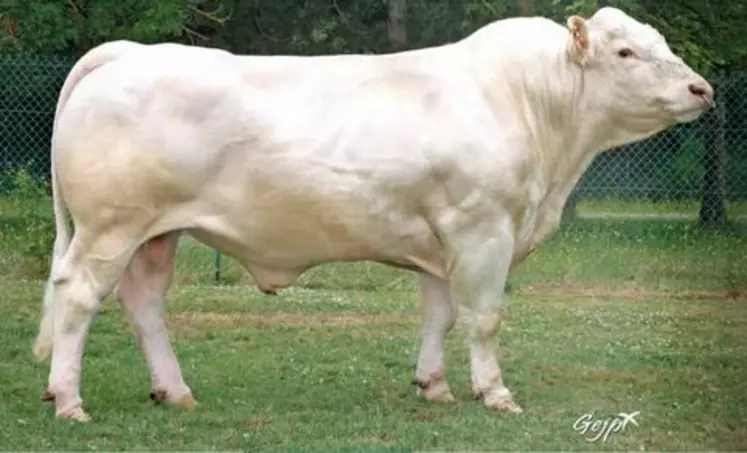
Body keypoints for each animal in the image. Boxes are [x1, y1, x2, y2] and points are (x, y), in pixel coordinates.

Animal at [33, 6, 712, 420]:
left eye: (661, 44)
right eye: (625, 53)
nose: (701, 89)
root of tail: (128, 52)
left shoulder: (442, 241)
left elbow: (439, 316)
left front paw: (434, 386)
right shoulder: (483, 228)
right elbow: (484, 318)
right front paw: (495, 394)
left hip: (157, 233)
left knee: (144, 303)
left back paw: (174, 391)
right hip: (110, 227)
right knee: (79, 297)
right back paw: (69, 400)